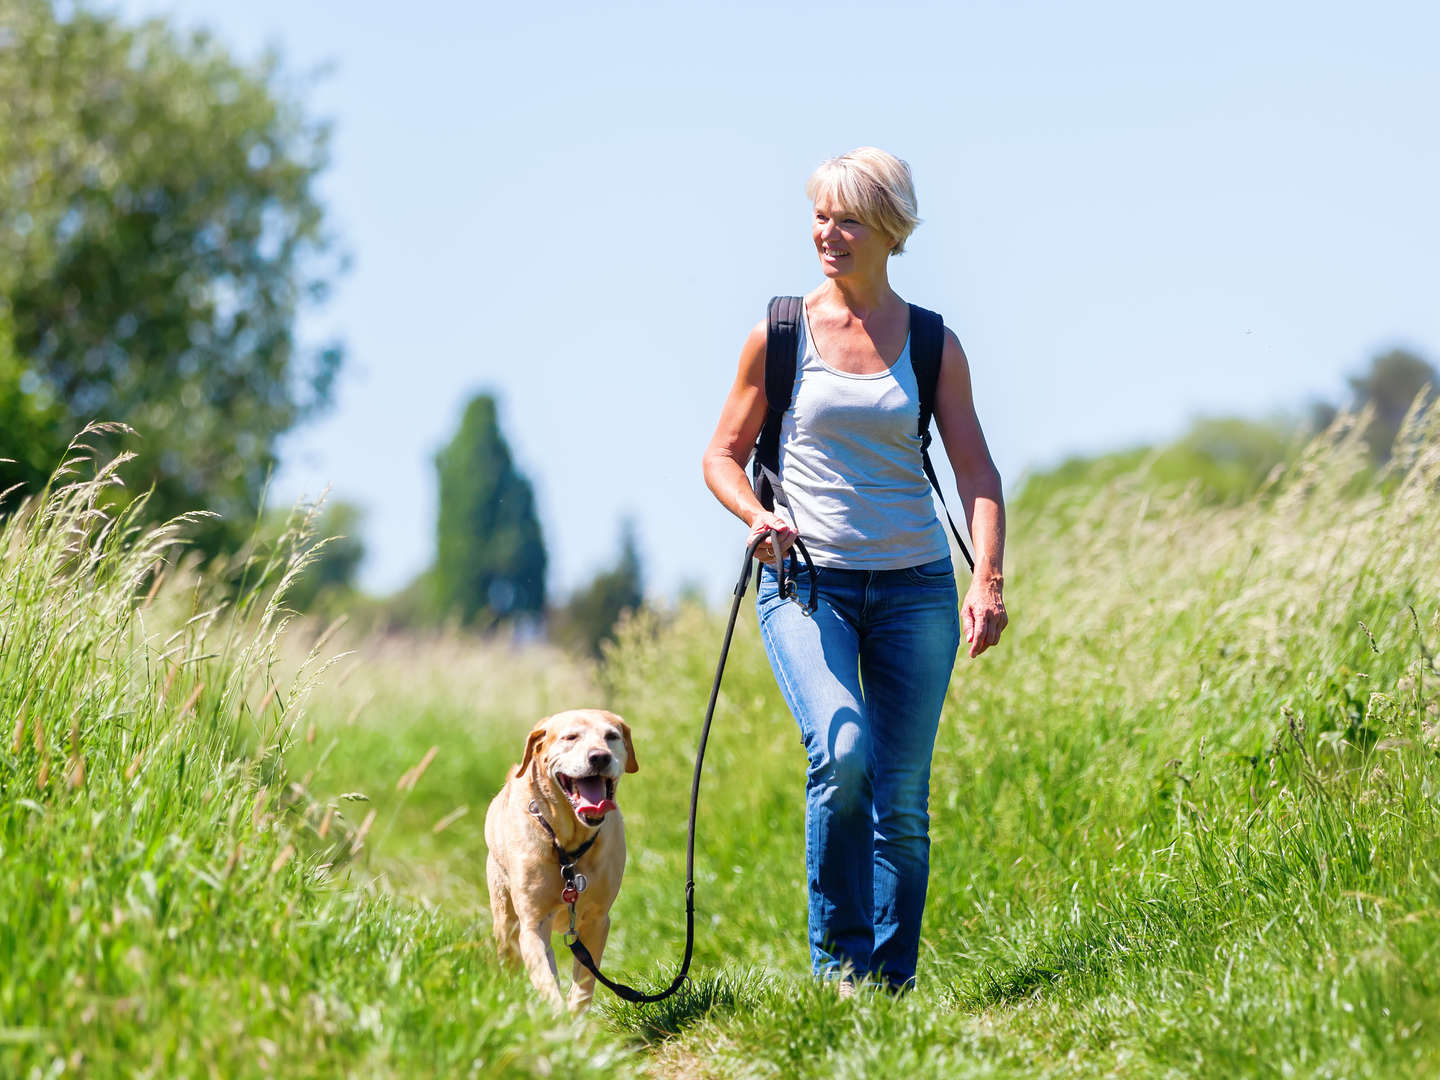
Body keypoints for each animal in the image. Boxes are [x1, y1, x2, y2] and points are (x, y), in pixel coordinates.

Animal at [483, 711, 636, 1013]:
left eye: (611, 736)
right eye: (570, 737)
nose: (599, 757)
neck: (568, 846)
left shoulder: (597, 921)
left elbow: (585, 983)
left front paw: (575, 1015)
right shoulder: (533, 924)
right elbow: (546, 981)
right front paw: (556, 1015)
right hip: (505, 920)